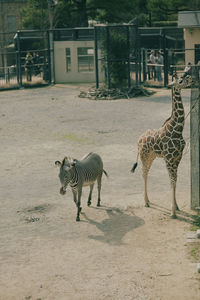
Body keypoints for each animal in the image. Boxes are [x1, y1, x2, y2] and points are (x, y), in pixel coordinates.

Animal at [130, 74, 195, 217]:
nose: (192, 79)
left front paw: (176, 207)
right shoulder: (169, 158)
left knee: (146, 172)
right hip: (144, 156)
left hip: (151, 157)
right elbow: (172, 181)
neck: (177, 130)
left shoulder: (177, 158)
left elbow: (175, 180)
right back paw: (146, 202)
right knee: (144, 173)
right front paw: (172, 212)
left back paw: (149, 200)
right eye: (180, 81)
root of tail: (138, 140)